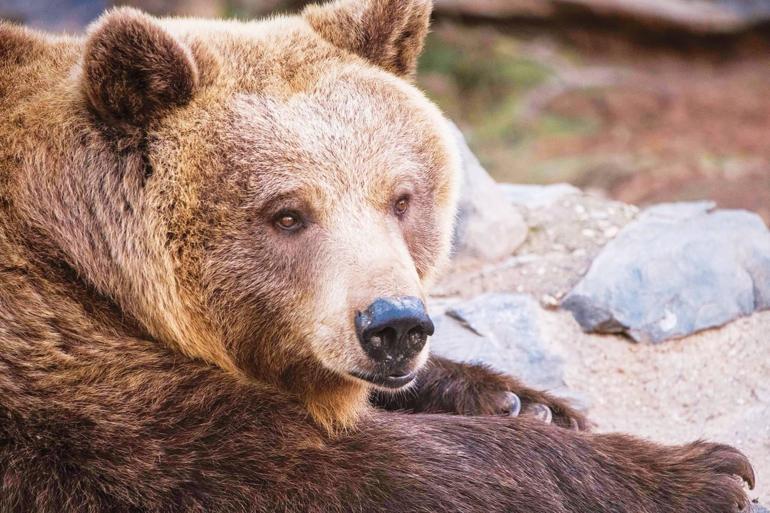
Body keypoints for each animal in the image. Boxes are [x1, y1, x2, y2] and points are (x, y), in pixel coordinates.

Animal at [0, 0, 752, 510]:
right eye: (287, 213)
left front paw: (524, 401)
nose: (394, 325)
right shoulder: (76, 382)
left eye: (401, 197)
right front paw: (701, 471)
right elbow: (337, 465)